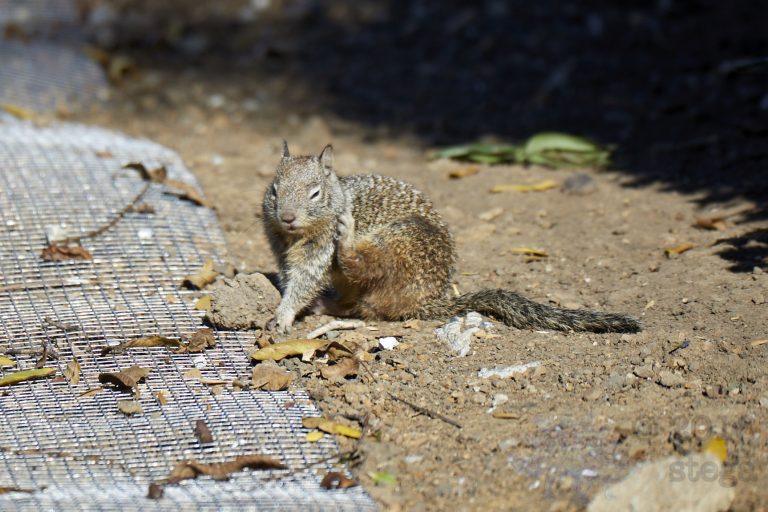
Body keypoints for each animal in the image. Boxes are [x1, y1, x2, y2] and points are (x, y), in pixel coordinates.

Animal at [262, 142, 641, 335]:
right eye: (274, 190)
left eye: (315, 193)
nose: (288, 217)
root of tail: (425, 300)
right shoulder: (279, 248)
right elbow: (290, 276)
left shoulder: (319, 249)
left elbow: (306, 280)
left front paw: (284, 315)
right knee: (359, 304)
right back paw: (328, 305)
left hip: (400, 243)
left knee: (364, 273)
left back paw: (349, 240)